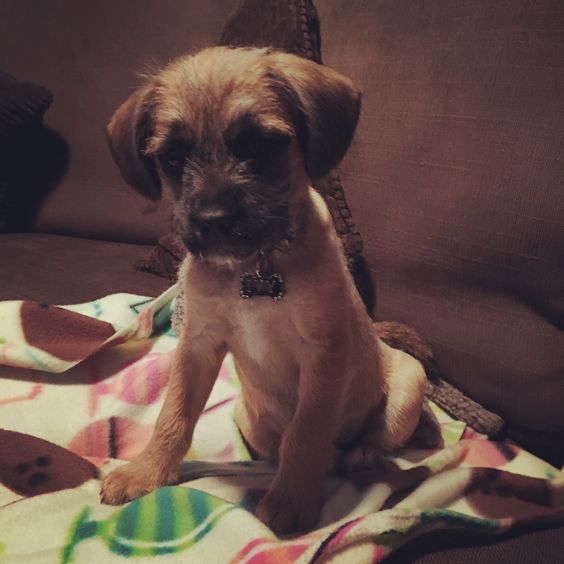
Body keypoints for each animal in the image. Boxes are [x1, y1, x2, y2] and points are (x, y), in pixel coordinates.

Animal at [101, 45, 428, 532]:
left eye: (260, 144)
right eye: (172, 157)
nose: (213, 221)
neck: (253, 268)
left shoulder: (323, 354)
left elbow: (306, 433)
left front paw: (292, 500)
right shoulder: (198, 346)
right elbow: (174, 416)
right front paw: (149, 470)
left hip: (409, 384)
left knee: (373, 439)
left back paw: (362, 456)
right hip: (248, 416)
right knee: (281, 446)